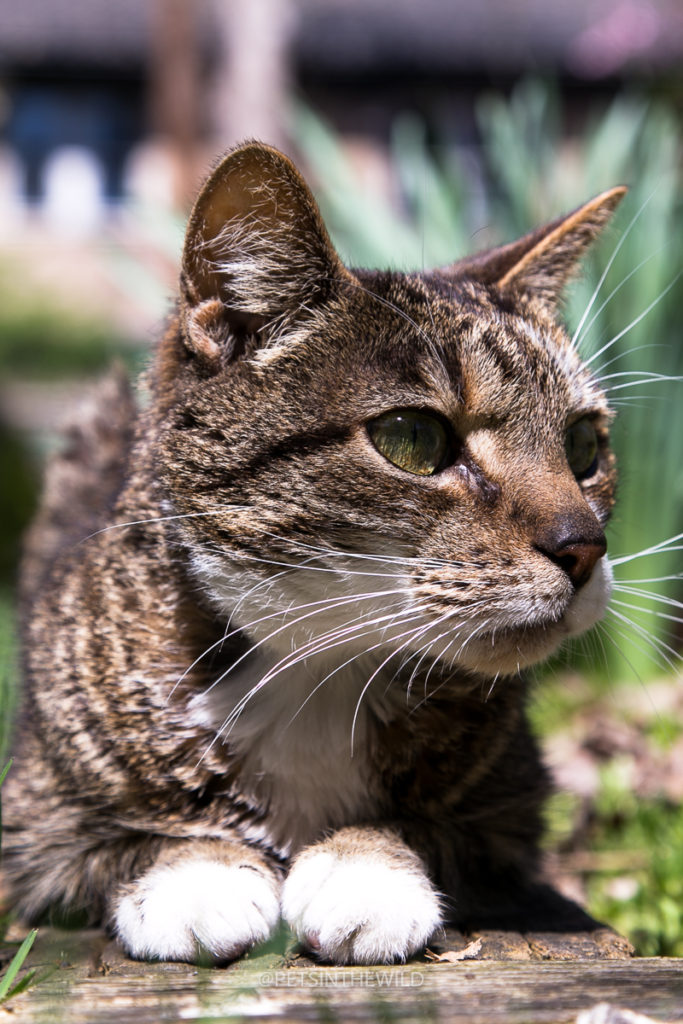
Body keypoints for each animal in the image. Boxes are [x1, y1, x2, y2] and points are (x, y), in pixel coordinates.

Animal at [3, 140, 626, 962]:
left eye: (584, 445)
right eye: (413, 438)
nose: (584, 546)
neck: (317, 674)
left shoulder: (506, 817)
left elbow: (419, 827)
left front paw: (362, 873)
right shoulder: (34, 825)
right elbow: (130, 837)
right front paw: (198, 877)